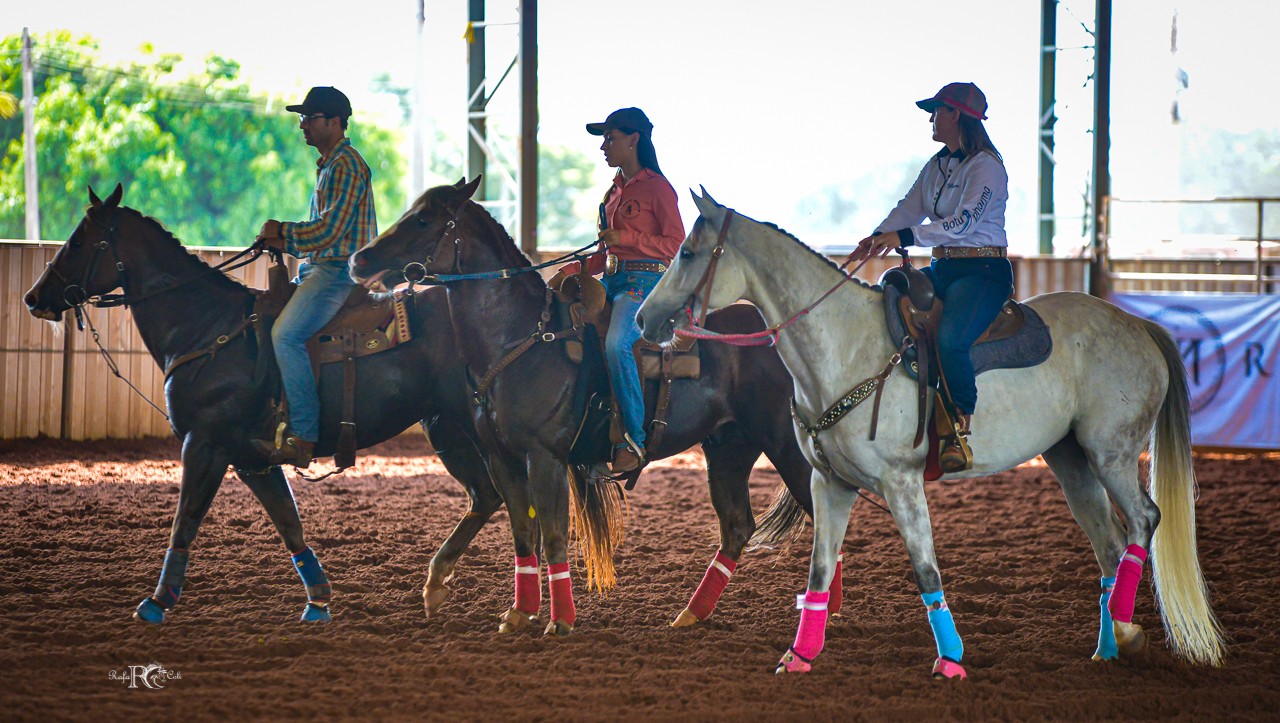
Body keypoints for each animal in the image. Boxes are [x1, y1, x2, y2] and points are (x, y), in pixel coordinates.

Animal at [23, 188, 504, 627]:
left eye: (79, 241)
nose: (33, 297)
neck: (206, 328)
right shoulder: (253, 461)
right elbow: (289, 526)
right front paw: (318, 601)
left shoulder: (204, 445)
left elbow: (186, 520)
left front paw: (157, 602)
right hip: (445, 427)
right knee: (486, 496)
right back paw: (438, 587)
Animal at [345, 177, 814, 634]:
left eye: (423, 220)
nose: (358, 260)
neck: (521, 337)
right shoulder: (502, 459)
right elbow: (523, 532)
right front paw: (519, 613)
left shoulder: (545, 457)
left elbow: (552, 534)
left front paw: (560, 620)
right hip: (729, 448)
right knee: (736, 528)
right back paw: (691, 614)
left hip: (787, 448)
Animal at [634, 190, 1223, 675]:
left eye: (688, 253)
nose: (645, 319)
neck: (845, 345)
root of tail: (1139, 325)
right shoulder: (831, 484)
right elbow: (819, 571)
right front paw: (799, 656)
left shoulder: (902, 483)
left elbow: (926, 573)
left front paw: (952, 659)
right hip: (1071, 461)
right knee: (1110, 545)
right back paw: (1108, 646)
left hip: (1112, 453)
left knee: (1143, 521)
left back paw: (1124, 628)